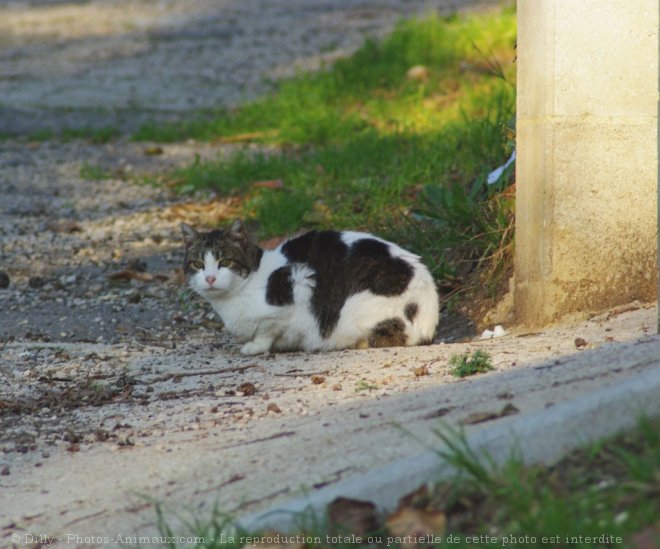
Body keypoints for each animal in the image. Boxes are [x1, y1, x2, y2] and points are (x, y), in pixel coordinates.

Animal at [180, 219, 438, 356]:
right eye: (198, 264)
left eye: (225, 262)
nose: (210, 278)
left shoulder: (298, 283)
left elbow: (266, 331)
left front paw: (254, 347)